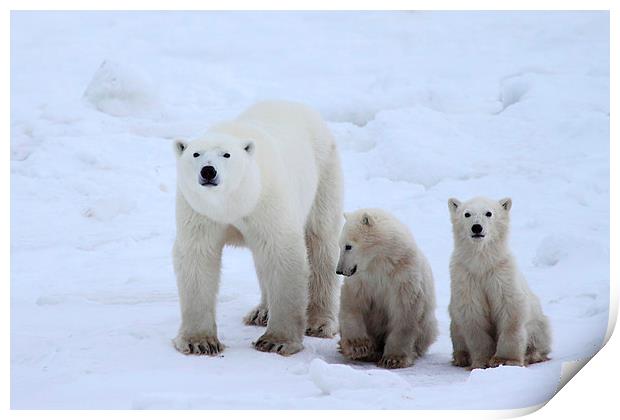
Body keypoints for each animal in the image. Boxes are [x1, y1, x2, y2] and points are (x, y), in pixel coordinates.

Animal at [172, 100, 342, 356]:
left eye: (226, 154)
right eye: (196, 153)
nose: (208, 171)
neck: (233, 202)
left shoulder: (267, 200)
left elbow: (282, 253)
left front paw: (276, 341)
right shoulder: (200, 212)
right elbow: (198, 258)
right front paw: (199, 342)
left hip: (324, 172)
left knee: (320, 243)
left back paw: (319, 322)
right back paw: (261, 312)